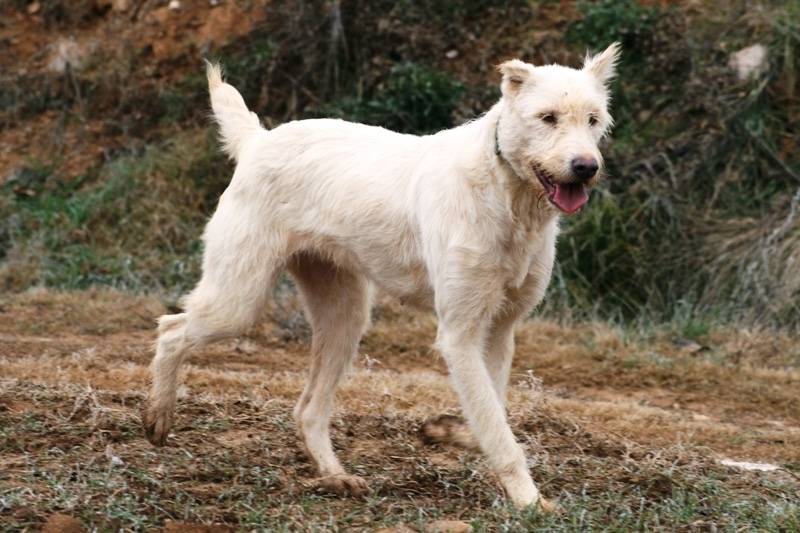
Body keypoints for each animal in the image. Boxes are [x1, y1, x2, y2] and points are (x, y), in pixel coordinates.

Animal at [142, 43, 620, 510]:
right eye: (548, 118)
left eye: (593, 120)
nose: (586, 166)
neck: (507, 195)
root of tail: (259, 140)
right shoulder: (460, 334)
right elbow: (497, 428)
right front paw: (530, 500)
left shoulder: (500, 331)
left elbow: (491, 411)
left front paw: (450, 432)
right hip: (238, 301)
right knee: (171, 330)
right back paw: (158, 414)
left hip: (345, 318)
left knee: (308, 410)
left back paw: (335, 476)